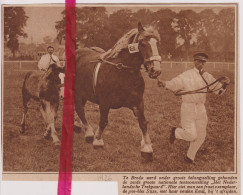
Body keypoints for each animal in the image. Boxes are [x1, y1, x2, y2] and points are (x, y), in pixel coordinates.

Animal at [74, 22, 161, 161]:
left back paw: (77, 125)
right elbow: (103, 121)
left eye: (157, 43)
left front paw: (147, 148)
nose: (156, 70)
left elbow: (143, 123)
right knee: (80, 109)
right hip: (77, 91)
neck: (122, 72)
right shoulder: (104, 103)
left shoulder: (138, 103)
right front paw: (97, 140)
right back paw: (88, 132)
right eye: (142, 43)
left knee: (79, 108)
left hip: (84, 94)